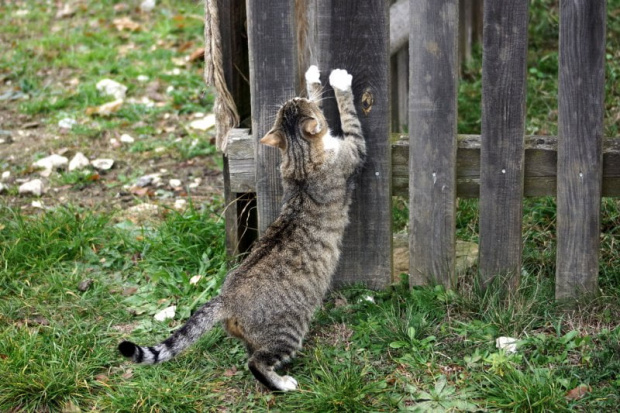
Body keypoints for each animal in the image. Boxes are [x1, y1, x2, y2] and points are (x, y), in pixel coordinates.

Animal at [118, 66, 366, 392]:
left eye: (292, 103)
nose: (291, 97)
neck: (300, 160)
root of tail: (227, 299)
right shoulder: (354, 149)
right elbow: (347, 113)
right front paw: (338, 81)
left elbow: (321, 98)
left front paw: (313, 77)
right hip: (287, 332)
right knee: (257, 363)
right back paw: (283, 383)